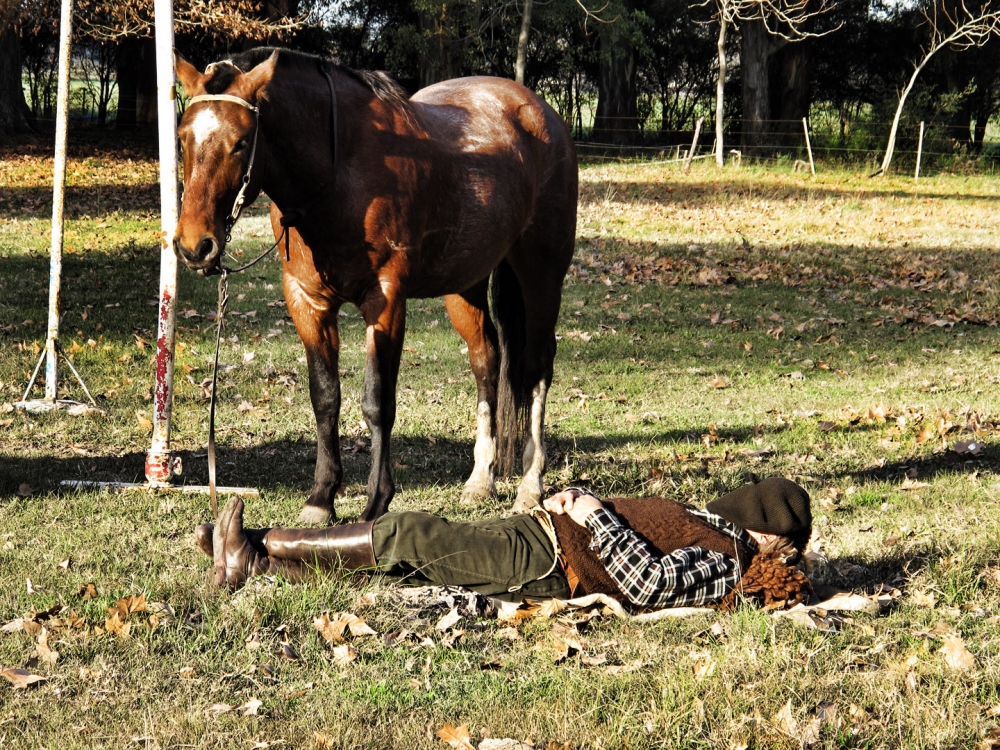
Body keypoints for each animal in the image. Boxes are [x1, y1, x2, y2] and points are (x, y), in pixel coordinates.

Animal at [173, 48, 580, 528]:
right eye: (181, 137)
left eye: (240, 142)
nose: (194, 245)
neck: (339, 171)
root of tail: (539, 113)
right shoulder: (306, 302)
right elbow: (325, 398)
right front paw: (321, 497)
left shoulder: (384, 302)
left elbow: (377, 401)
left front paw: (376, 502)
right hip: (466, 285)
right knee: (487, 361)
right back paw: (481, 480)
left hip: (541, 273)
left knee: (537, 366)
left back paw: (530, 486)